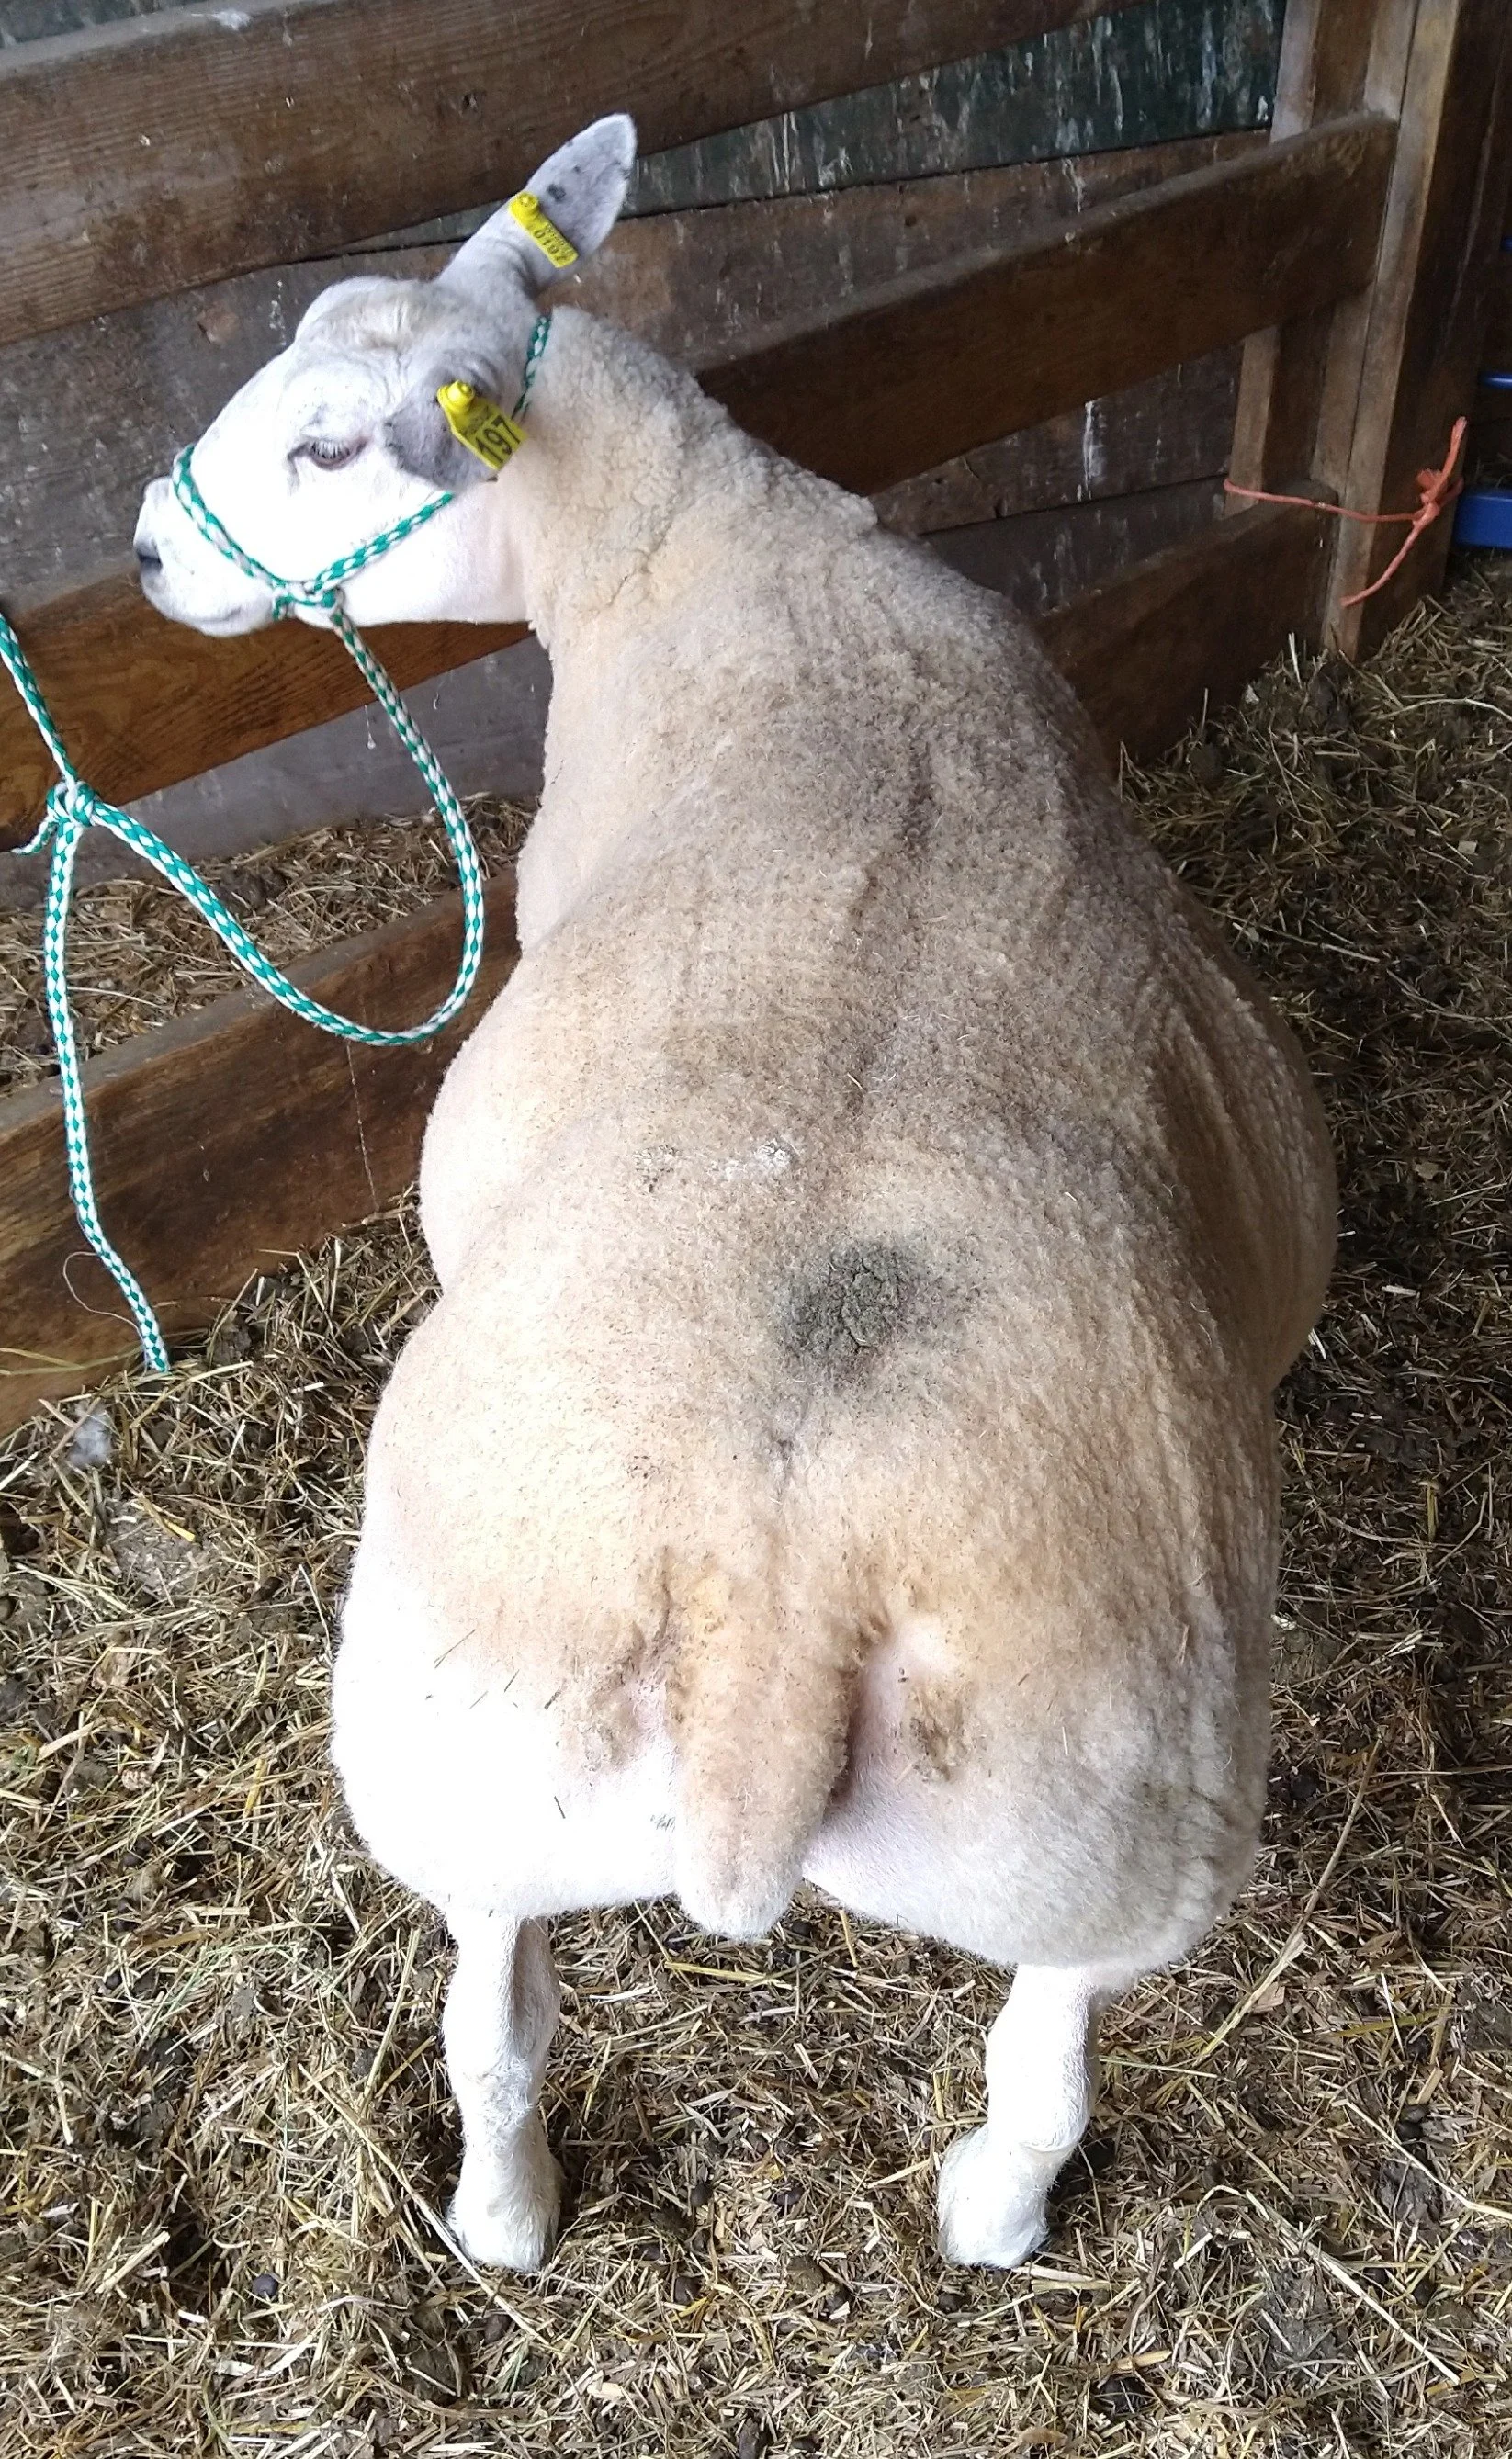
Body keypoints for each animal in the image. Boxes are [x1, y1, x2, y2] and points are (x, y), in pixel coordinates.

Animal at [133, 111, 1336, 2275]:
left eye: (333, 447)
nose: (143, 556)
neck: (701, 542)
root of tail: (779, 1616)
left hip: (459, 1751)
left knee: (493, 2022)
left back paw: (506, 2216)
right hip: (1101, 1829)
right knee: (1046, 2061)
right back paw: (979, 2207)